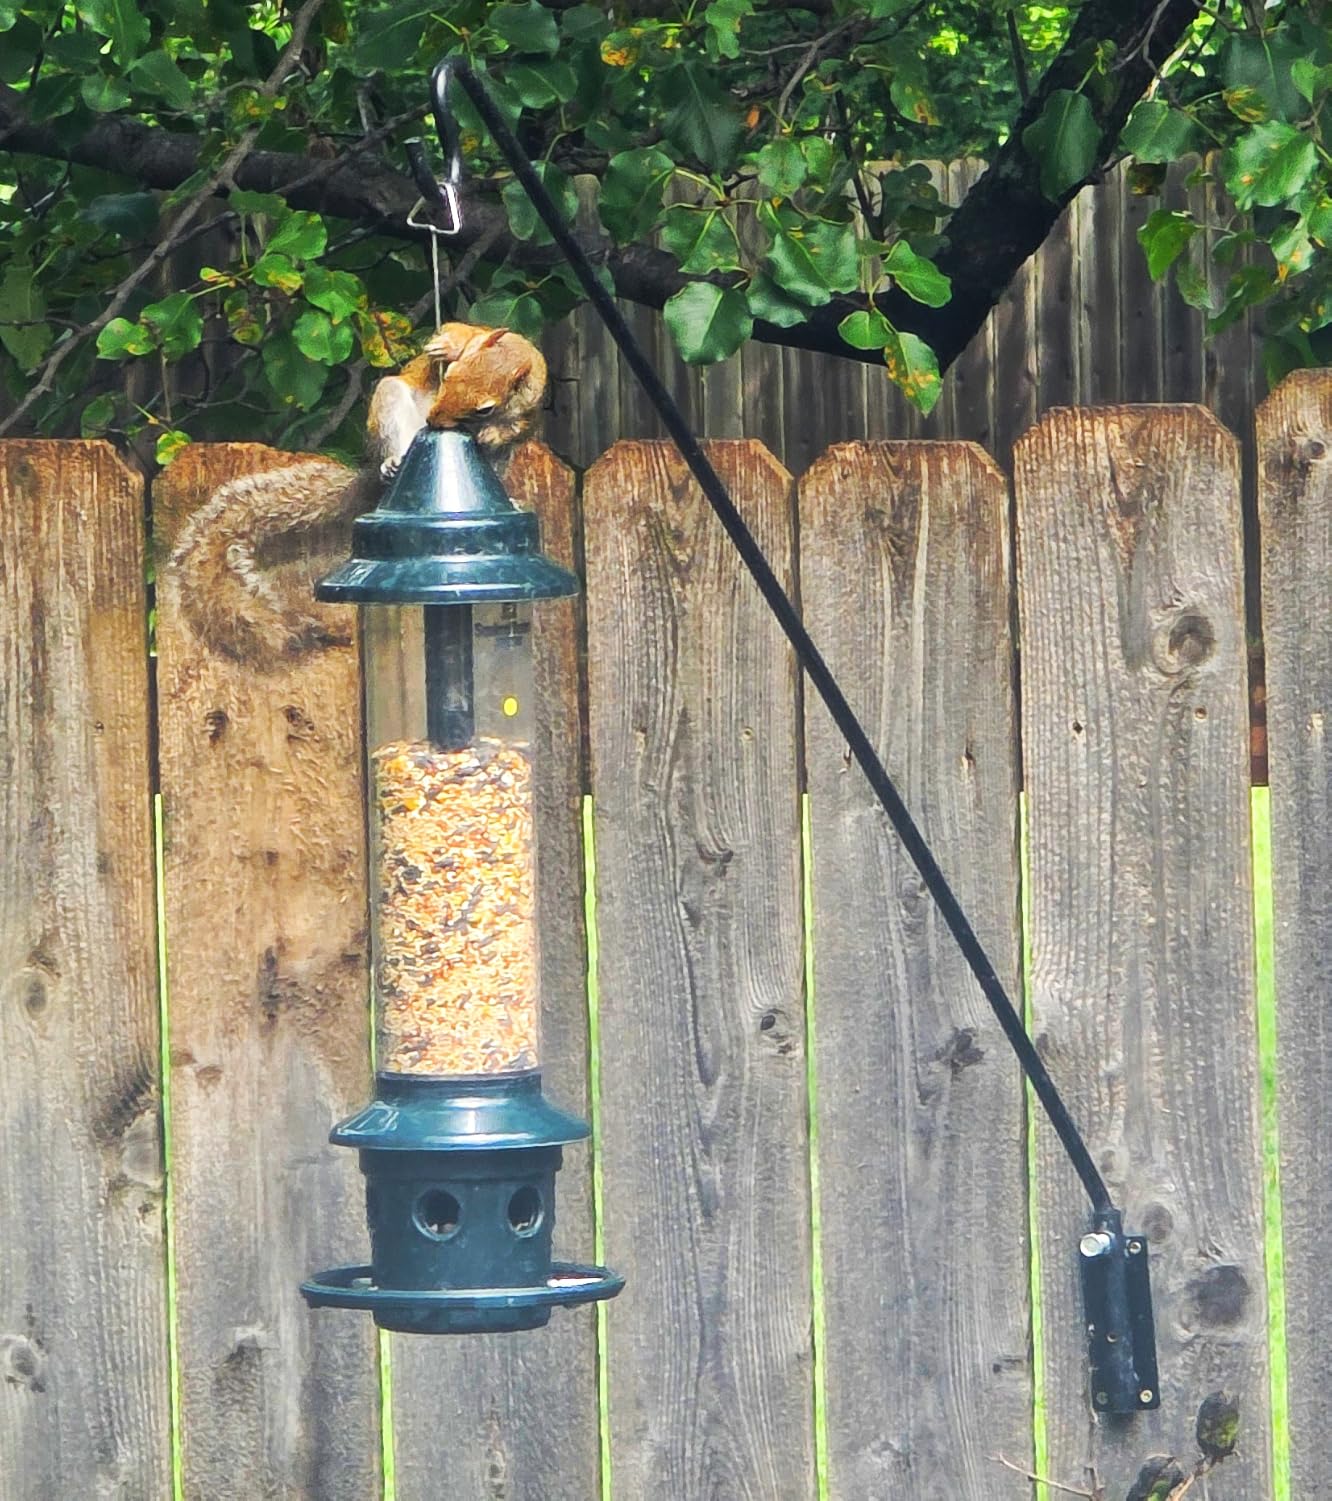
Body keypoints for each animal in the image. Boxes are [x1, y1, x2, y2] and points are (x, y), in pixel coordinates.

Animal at [170, 322, 547, 671]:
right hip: (390, 401)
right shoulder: (472, 331)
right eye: (451, 374)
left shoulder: (531, 408)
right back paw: (392, 463)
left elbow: (515, 428)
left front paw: (491, 433)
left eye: (485, 409)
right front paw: (445, 345)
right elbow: (457, 329)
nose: (435, 419)